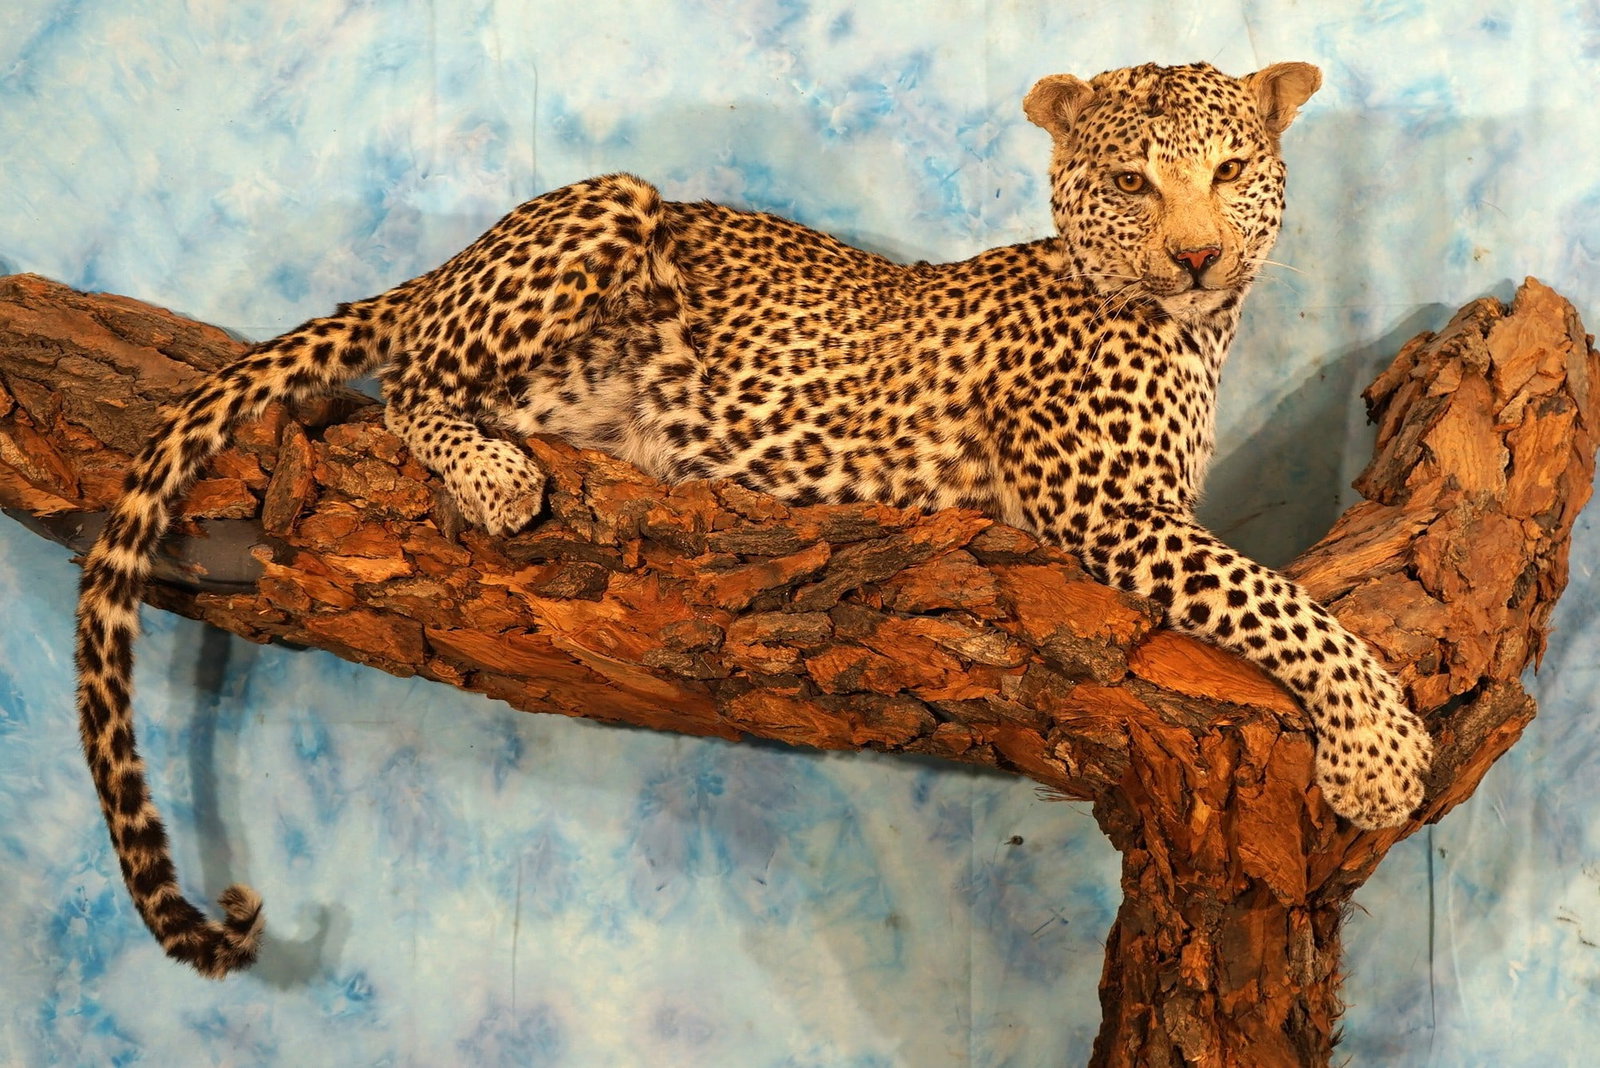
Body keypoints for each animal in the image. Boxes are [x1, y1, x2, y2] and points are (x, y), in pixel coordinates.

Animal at [73, 60, 1432, 979]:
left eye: (1229, 172)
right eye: (1126, 181)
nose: (1197, 256)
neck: (1191, 331)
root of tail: (445, 263)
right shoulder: (1100, 505)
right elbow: (1277, 601)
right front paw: (1379, 751)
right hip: (610, 202)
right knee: (407, 373)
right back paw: (495, 474)